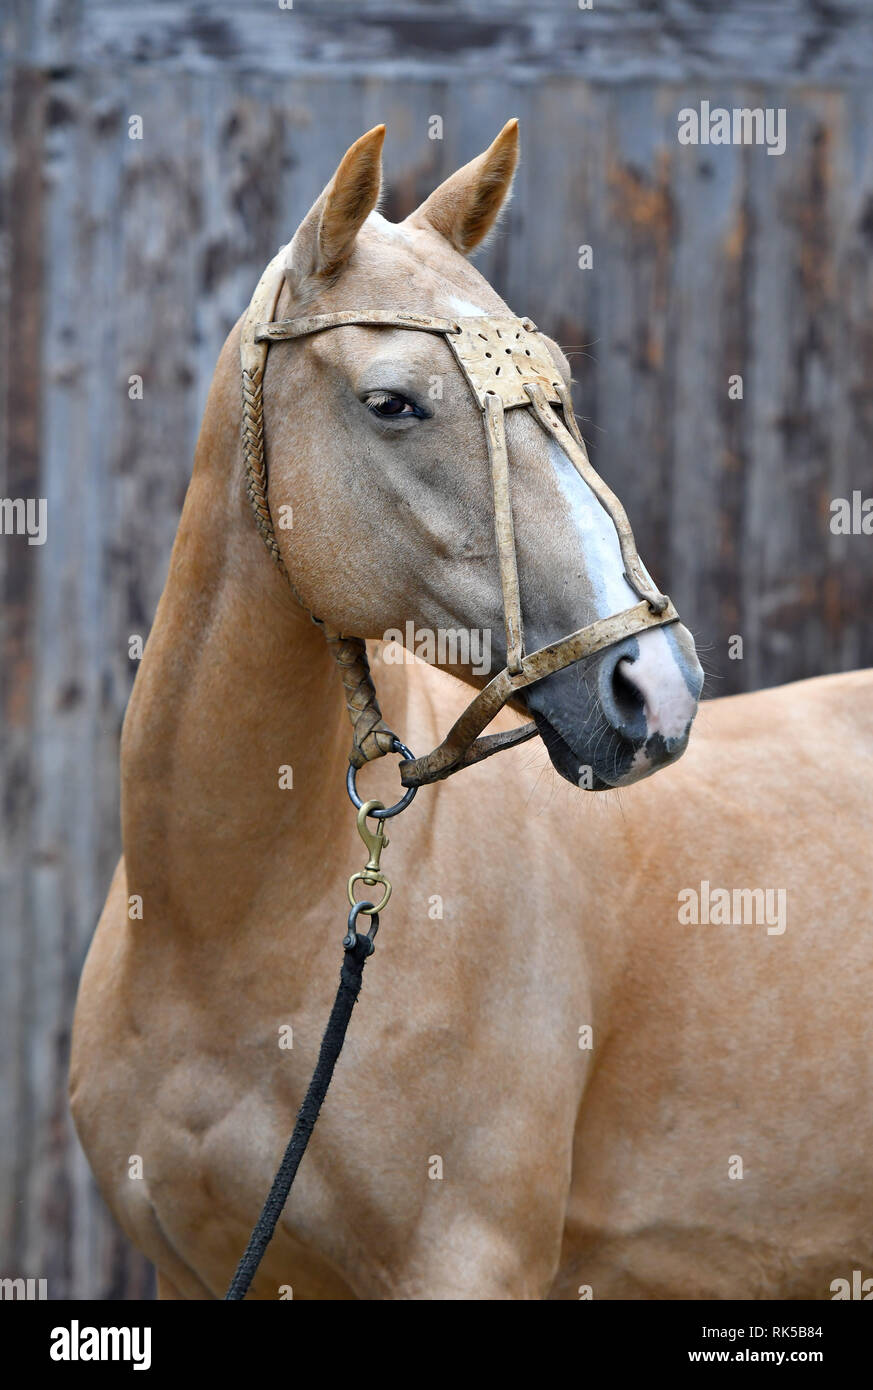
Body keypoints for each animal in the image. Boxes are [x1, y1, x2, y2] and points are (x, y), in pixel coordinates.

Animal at [69, 125, 873, 1295]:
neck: (224, 927)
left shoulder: (466, 1261)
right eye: (392, 403)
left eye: (561, 393)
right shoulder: (195, 1270)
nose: (656, 686)